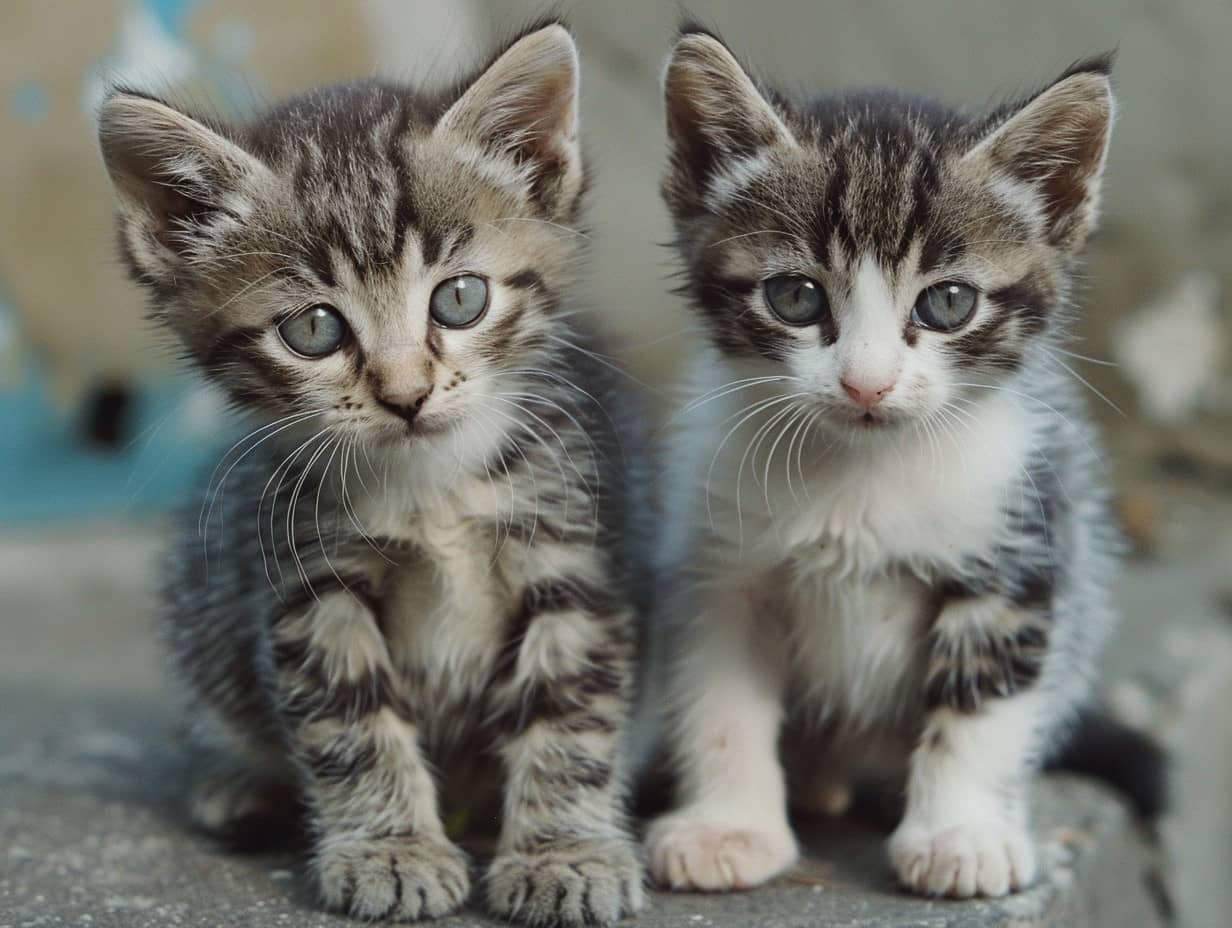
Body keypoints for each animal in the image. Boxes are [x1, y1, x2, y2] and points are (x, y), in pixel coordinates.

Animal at [96, 21, 650, 926]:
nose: (405, 394)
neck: (433, 486)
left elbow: (571, 715)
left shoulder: (571, 551)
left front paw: (564, 853)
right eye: (315, 329)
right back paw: (238, 786)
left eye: (459, 300)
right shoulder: (307, 576)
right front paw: (391, 849)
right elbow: (349, 723)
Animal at [650, 25, 1128, 897]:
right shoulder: (719, 567)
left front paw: (960, 836)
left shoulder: (1019, 546)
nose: (866, 383)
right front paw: (728, 826)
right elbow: (721, 700)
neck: (862, 474)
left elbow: (984, 710)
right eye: (796, 297)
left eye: (948, 303)